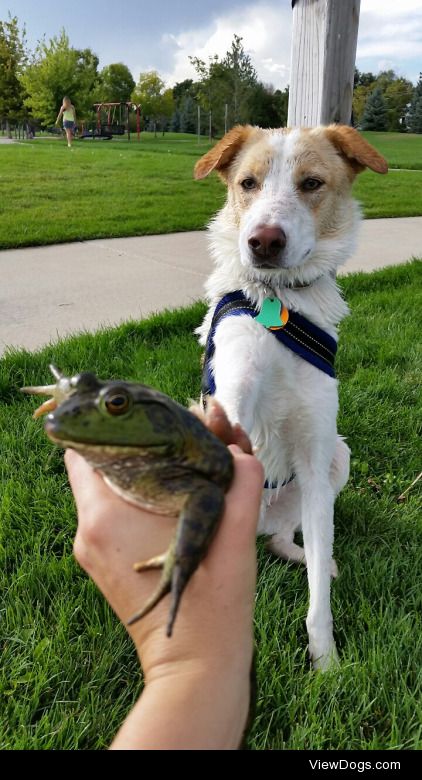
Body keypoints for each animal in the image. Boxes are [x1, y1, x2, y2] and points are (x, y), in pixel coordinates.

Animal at [195, 125, 390, 668]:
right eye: (247, 183)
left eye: (311, 183)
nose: (263, 241)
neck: (280, 305)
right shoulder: (232, 389)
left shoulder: (317, 451)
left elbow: (318, 595)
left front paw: (327, 664)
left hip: (337, 460)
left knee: (287, 541)